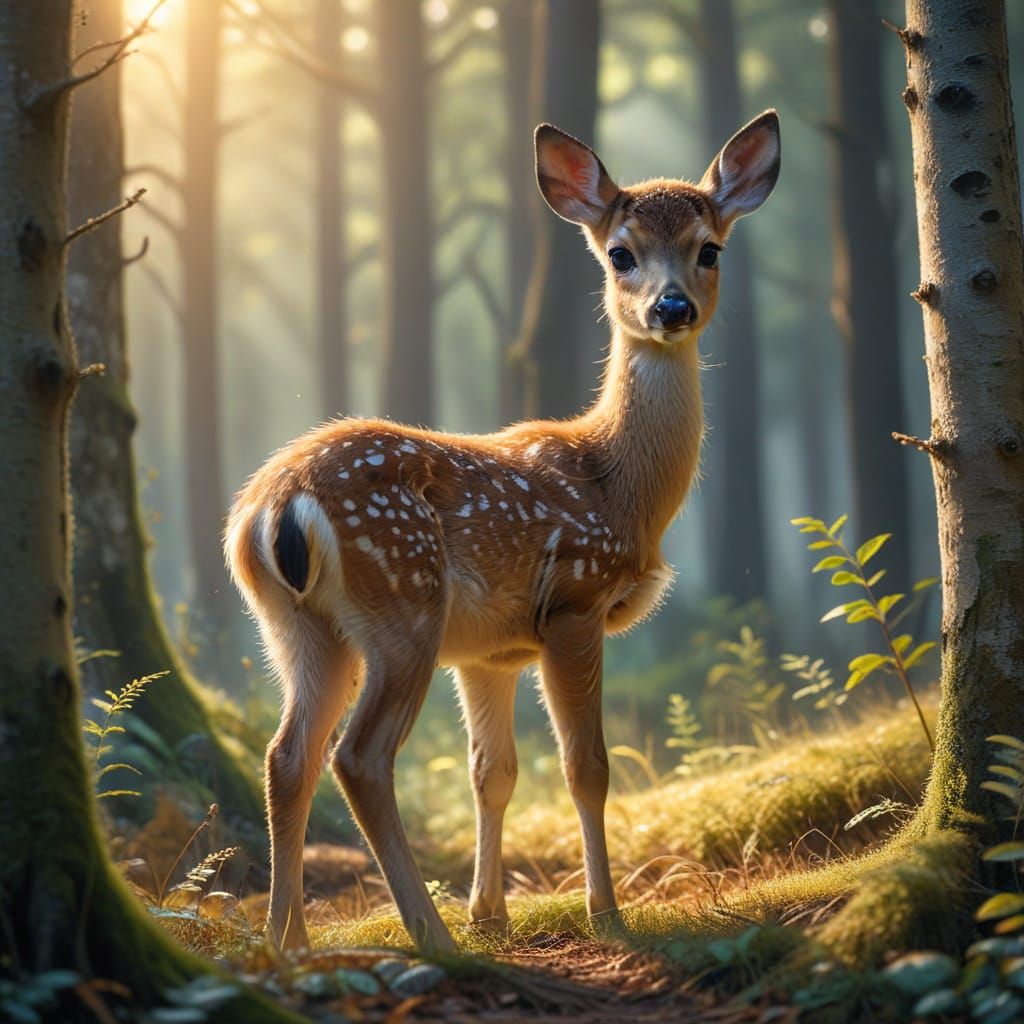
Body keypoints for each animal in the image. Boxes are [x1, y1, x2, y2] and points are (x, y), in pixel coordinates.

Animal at [225, 110, 781, 955]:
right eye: (620, 254)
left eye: (709, 248)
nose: (671, 308)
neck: (616, 483)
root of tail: (271, 508)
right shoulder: (575, 602)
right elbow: (587, 766)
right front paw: (605, 913)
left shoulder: (489, 652)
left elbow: (493, 771)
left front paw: (492, 914)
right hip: (402, 606)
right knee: (359, 758)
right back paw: (428, 933)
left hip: (297, 626)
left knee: (288, 756)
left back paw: (289, 944)